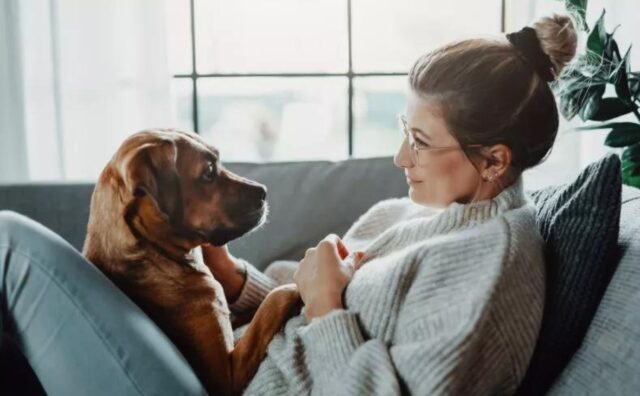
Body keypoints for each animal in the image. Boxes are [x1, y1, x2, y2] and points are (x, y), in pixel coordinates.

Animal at [84, 128, 302, 394]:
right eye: (208, 172)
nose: (264, 191)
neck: (154, 253)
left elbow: (254, 311)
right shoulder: (226, 376)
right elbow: (272, 302)